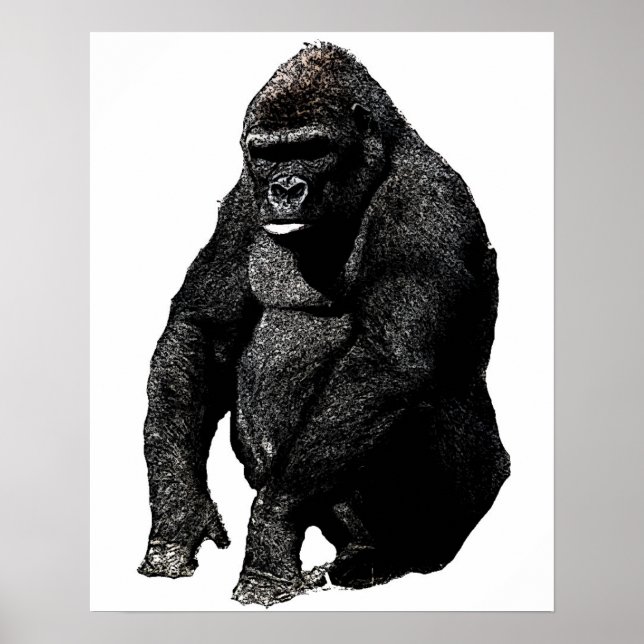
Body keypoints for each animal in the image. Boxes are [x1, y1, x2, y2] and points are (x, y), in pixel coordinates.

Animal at [138, 42, 510, 607]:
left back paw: (390, 556)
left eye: (313, 148)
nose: (285, 188)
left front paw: (270, 532)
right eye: (268, 155)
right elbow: (203, 328)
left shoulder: (426, 201)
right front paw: (180, 511)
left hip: (471, 500)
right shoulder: (243, 195)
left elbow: (390, 363)